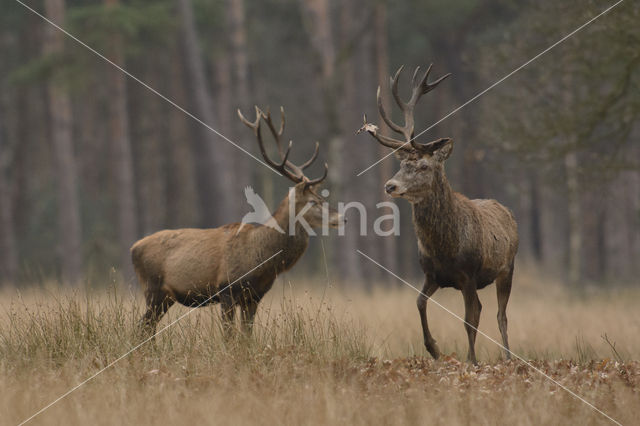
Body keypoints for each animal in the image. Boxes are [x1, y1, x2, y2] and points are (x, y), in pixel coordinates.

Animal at [129, 105, 340, 336]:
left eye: (322, 198)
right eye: (313, 201)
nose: (343, 217)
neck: (262, 259)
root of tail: (133, 248)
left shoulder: (254, 297)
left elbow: (247, 336)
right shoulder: (227, 289)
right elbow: (229, 336)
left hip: (165, 297)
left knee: (146, 329)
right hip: (153, 288)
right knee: (141, 328)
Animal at [360, 63, 520, 362]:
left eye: (424, 166)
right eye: (402, 165)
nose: (390, 185)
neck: (446, 246)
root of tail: (505, 210)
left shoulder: (468, 274)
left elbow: (470, 319)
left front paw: (471, 360)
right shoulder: (432, 274)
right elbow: (419, 302)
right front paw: (433, 348)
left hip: (507, 268)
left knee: (500, 315)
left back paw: (507, 356)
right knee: (486, 310)